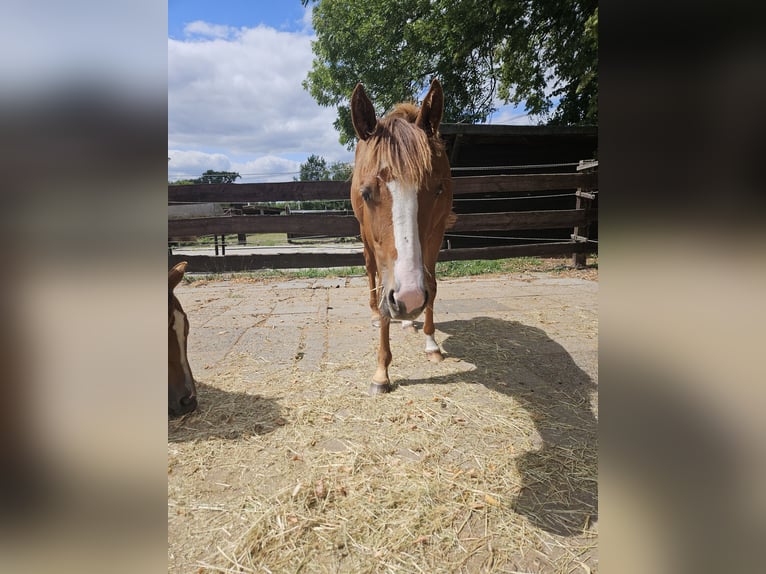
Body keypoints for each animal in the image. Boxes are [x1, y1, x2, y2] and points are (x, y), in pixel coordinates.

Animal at [350, 78, 457, 395]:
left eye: (437, 189)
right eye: (366, 192)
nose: (409, 299)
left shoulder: (435, 235)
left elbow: (432, 285)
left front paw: (432, 345)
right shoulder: (379, 249)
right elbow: (382, 287)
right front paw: (381, 372)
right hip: (365, 238)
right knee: (371, 274)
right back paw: (377, 314)